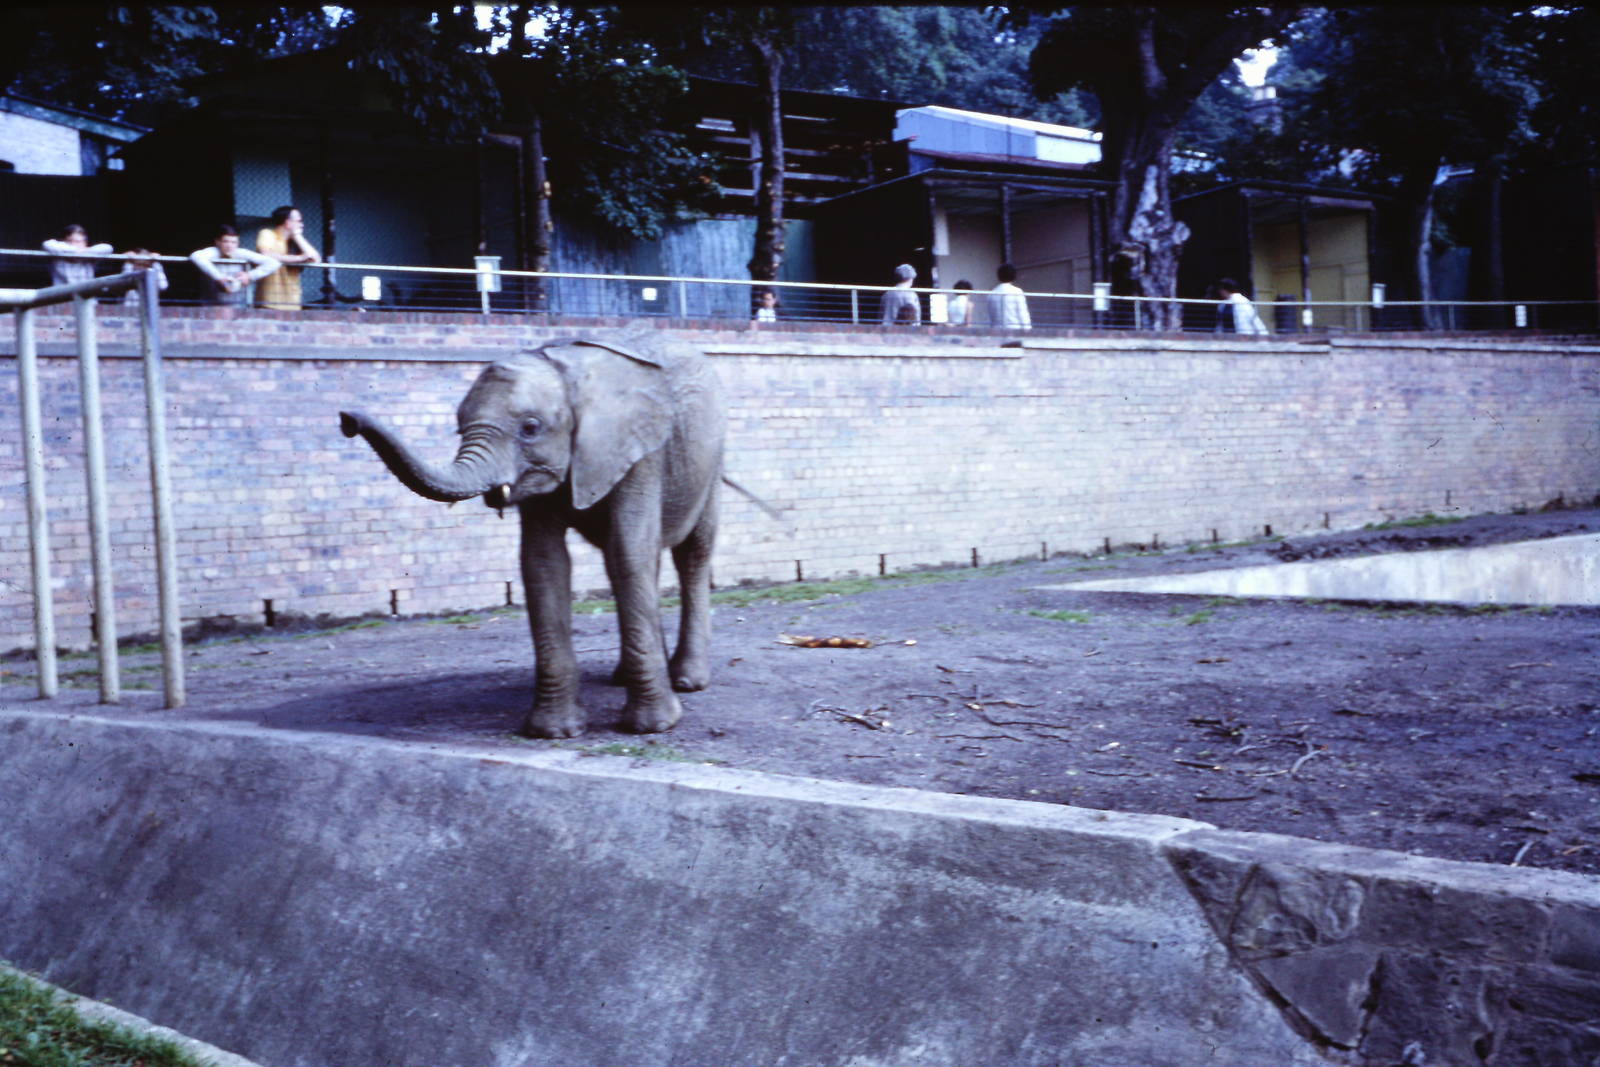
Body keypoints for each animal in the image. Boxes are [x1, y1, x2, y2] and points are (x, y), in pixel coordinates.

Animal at [339, 332, 725, 738]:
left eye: (530, 428)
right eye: (459, 427)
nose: (347, 420)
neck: (567, 372)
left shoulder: (640, 454)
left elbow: (628, 552)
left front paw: (651, 727)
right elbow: (543, 562)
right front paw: (553, 732)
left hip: (711, 461)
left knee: (691, 553)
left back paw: (688, 680)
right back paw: (626, 677)